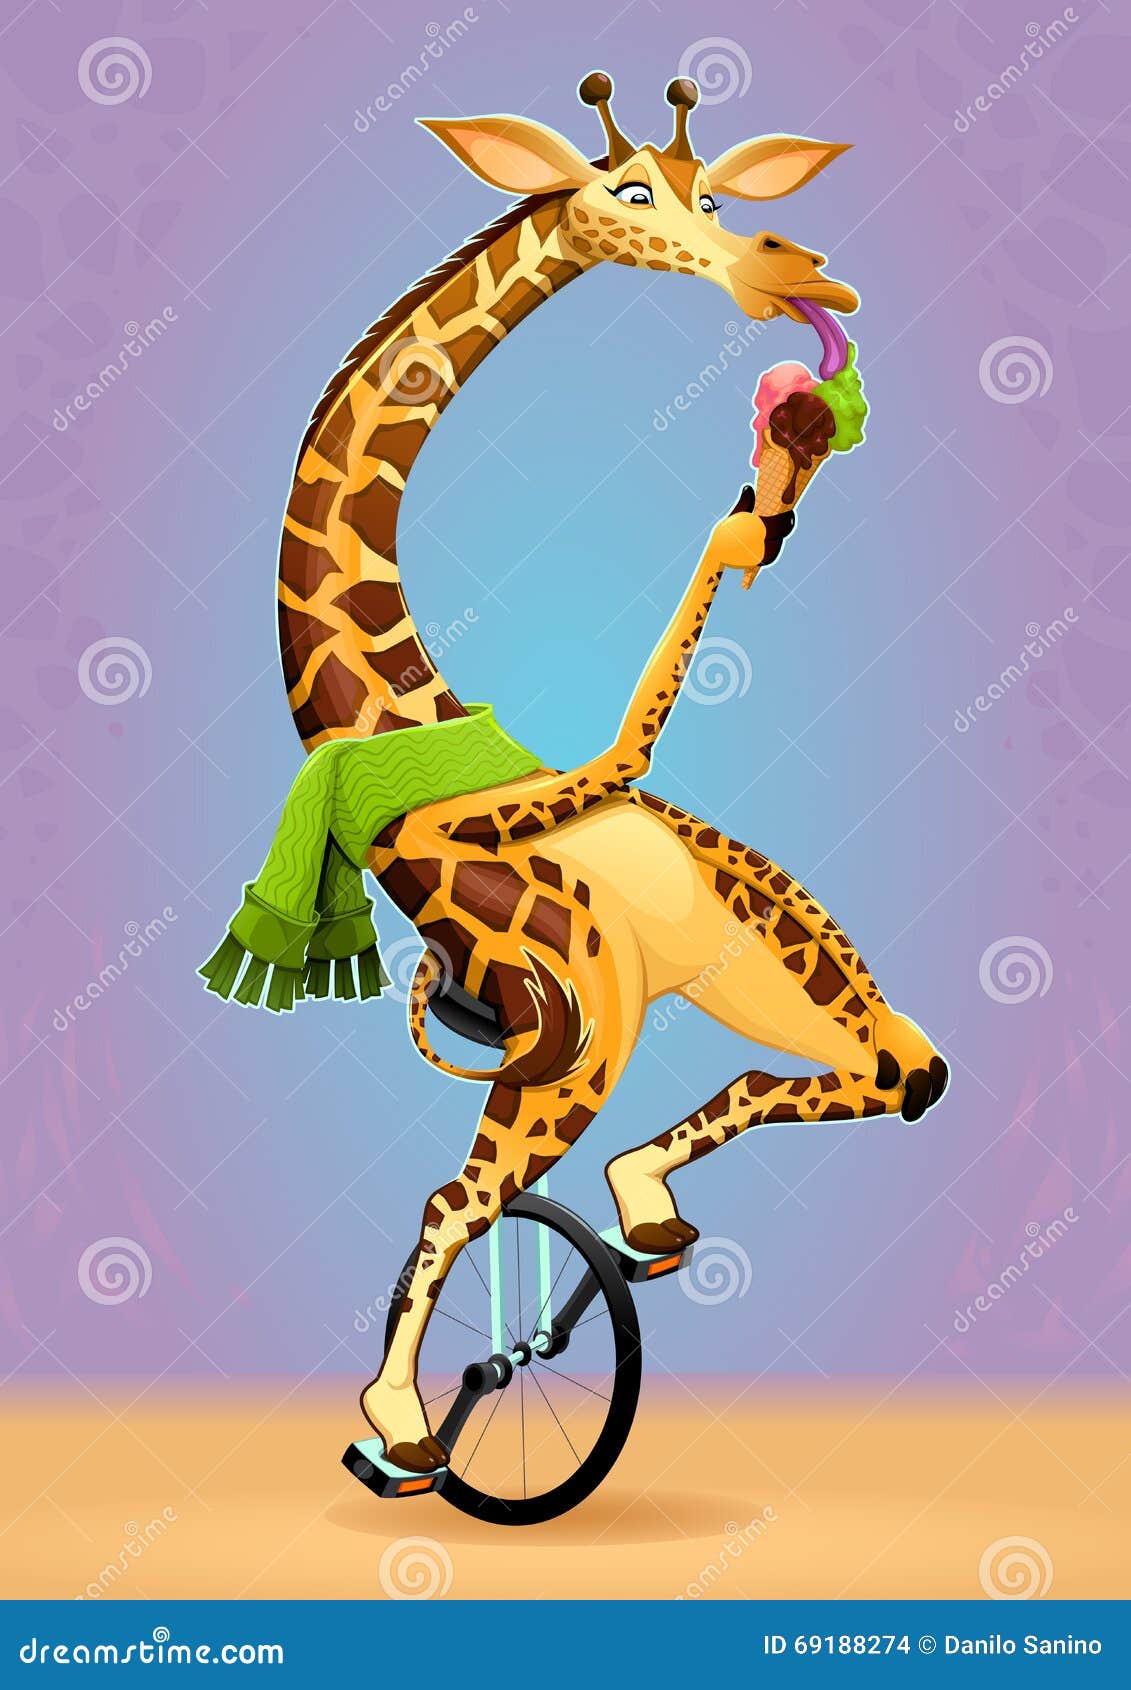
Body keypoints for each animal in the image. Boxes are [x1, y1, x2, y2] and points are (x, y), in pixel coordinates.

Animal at [276, 72, 948, 1473]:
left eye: (719, 199)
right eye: (630, 190)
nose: (800, 270)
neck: (391, 718)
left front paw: (783, 474)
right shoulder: (537, 919)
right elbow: (630, 739)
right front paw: (761, 503)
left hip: (756, 977)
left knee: (899, 1070)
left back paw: (638, 1217)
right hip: (583, 1041)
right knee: (465, 1199)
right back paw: (411, 1422)